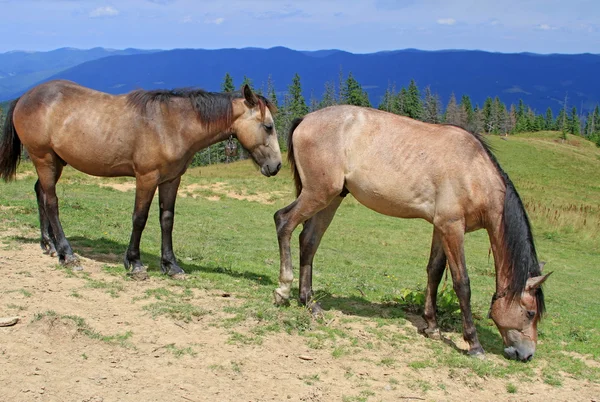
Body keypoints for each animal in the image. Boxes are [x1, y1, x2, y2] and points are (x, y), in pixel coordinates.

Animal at [0, 79, 282, 278]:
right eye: (268, 126)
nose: (276, 166)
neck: (171, 125)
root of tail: (25, 97)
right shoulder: (146, 178)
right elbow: (140, 218)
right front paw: (135, 263)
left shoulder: (171, 179)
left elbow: (166, 219)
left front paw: (171, 265)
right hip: (44, 159)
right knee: (51, 202)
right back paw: (66, 254)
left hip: (54, 162)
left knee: (40, 192)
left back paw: (48, 244)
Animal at [274, 104, 552, 362]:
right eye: (530, 313)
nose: (527, 354)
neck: (473, 171)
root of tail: (305, 119)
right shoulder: (452, 227)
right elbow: (462, 283)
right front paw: (474, 344)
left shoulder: (441, 227)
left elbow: (434, 272)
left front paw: (432, 326)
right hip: (318, 194)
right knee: (283, 222)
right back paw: (283, 290)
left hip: (331, 198)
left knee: (309, 241)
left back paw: (309, 302)